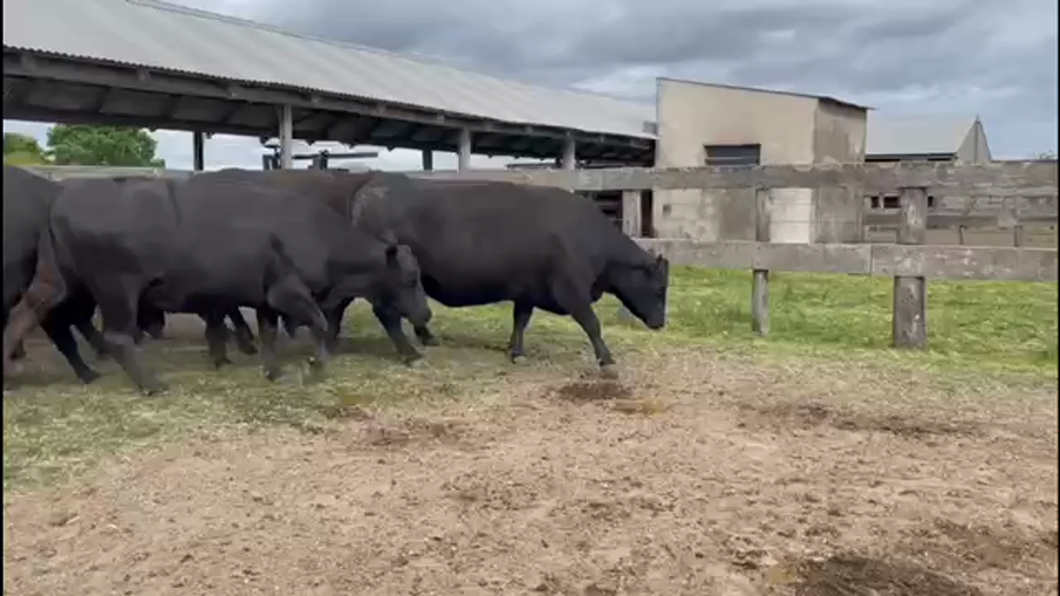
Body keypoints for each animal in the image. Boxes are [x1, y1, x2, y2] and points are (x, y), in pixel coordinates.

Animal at [3, 173, 430, 392]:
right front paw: (314, 366)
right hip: (118, 290)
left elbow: (270, 335)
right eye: (411, 277)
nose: (426, 313)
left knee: (21, 317)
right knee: (117, 337)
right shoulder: (289, 293)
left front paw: (274, 372)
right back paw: (153, 384)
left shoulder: (266, 299)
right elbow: (321, 325)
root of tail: (63, 197)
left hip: (54, 281)